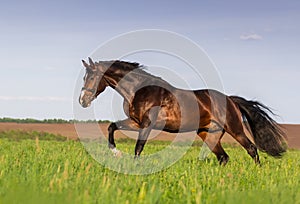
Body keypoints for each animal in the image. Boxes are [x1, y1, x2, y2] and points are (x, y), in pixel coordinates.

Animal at [79, 56, 286, 165]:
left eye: (92, 77)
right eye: (84, 77)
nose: (82, 100)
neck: (139, 90)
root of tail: (230, 99)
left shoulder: (146, 124)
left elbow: (139, 147)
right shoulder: (135, 122)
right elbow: (112, 127)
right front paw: (116, 153)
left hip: (235, 128)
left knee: (251, 149)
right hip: (209, 134)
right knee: (223, 157)